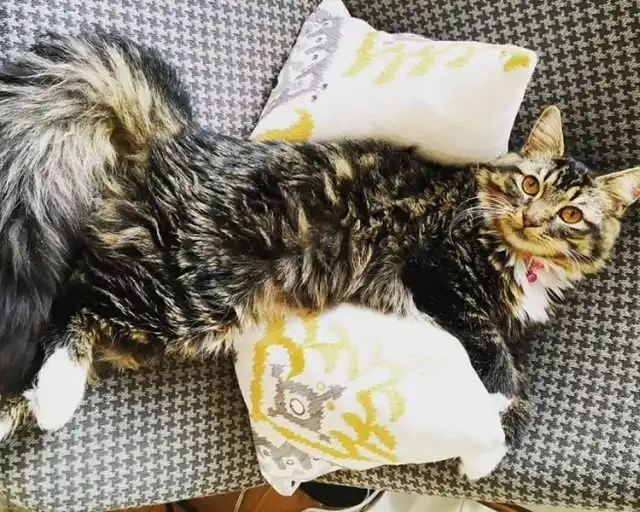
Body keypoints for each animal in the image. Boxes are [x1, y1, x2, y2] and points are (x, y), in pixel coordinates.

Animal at [0, 34, 638, 474]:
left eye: (571, 214)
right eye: (530, 186)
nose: (533, 218)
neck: (516, 257)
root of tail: (176, 138)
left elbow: (522, 382)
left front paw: (491, 447)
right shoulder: (438, 272)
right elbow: (502, 368)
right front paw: (491, 432)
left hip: (169, 314)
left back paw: (20, 409)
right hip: (187, 290)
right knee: (71, 302)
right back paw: (55, 396)